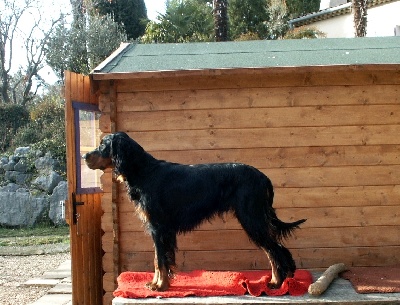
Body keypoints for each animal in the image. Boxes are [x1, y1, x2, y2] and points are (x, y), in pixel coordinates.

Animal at [83, 132, 304, 290]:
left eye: (103, 145)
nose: (84, 155)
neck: (144, 171)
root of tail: (263, 176)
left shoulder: (158, 227)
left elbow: (160, 259)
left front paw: (159, 286)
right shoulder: (162, 230)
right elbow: (159, 259)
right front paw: (158, 282)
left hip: (251, 218)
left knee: (274, 250)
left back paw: (276, 282)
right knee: (274, 249)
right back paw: (282, 280)